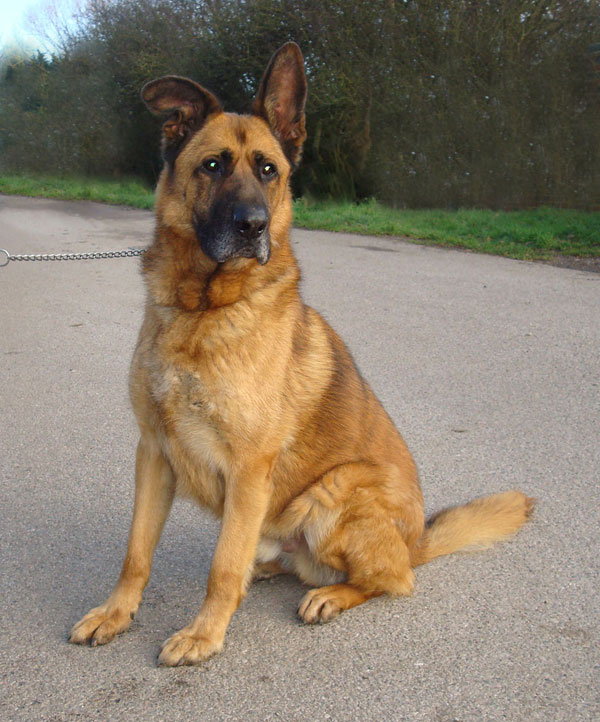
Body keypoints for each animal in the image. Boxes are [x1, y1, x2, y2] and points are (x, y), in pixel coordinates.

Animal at [68, 43, 532, 664]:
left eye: (269, 170)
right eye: (212, 166)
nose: (253, 227)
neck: (202, 311)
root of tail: (416, 541)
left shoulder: (248, 467)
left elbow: (221, 567)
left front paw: (204, 634)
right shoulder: (154, 454)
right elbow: (136, 553)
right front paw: (116, 614)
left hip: (335, 490)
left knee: (393, 579)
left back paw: (331, 594)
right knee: (284, 559)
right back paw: (268, 569)